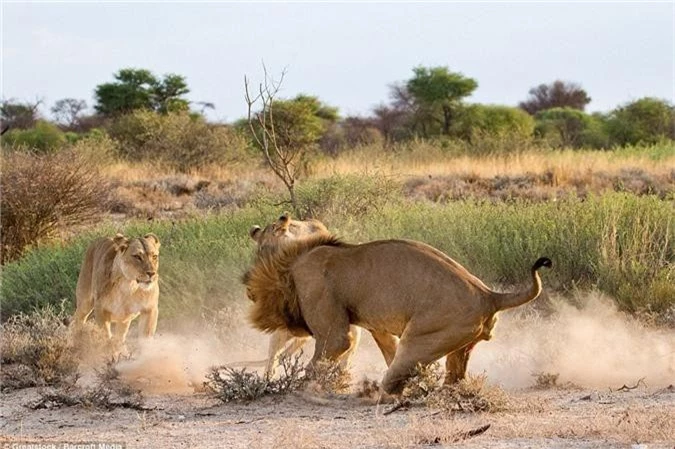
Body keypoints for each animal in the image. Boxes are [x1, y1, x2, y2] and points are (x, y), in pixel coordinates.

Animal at [246, 233, 552, 394]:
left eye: (254, 294)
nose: (251, 302)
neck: (292, 264)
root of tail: (488, 295)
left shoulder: (334, 331)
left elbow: (322, 358)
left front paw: (301, 389)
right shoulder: (376, 327)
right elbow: (386, 348)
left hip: (422, 338)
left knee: (396, 375)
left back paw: (380, 393)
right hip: (460, 343)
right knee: (453, 374)